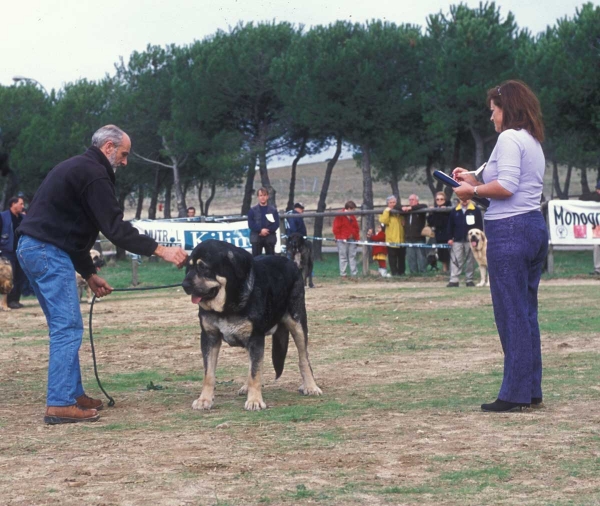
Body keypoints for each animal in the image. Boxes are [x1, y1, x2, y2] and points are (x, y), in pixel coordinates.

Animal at [183, 241, 324, 412]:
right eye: (189, 267)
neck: (228, 305)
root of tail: (289, 260)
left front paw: (255, 400)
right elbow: (209, 374)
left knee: (304, 358)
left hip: (297, 324)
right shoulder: (209, 337)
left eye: (203, 267)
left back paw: (310, 386)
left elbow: (255, 372)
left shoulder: (255, 337)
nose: (184, 285)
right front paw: (204, 399)